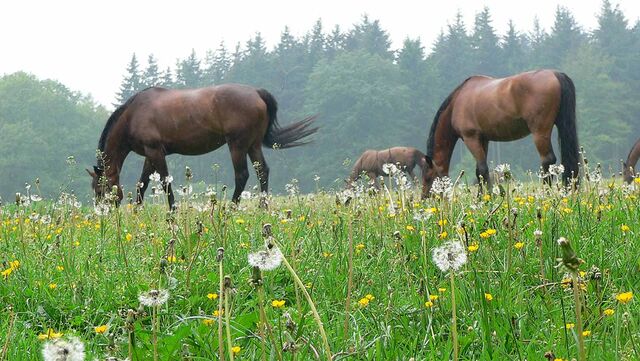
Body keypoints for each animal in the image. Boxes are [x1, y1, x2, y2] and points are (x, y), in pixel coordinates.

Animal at [89, 83, 318, 208]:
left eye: (100, 189)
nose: (102, 213)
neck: (133, 114)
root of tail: (256, 92)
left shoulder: (154, 151)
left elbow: (164, 182)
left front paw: (173, 211)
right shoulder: (151, 153)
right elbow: (142, 184)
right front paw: (137, 210)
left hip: (237, 145)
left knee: (242, 175)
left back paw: (232, 207)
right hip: (253, 145)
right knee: (262, 171)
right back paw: (263, 206)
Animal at [420, 68, 580, 197]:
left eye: (427, 177)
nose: (425, 197)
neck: (457, 103)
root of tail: (555, 74)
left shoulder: (471, 138)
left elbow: (482, 169)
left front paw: (489, 197)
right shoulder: (483, 139)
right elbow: (479, 170)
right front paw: (481, 197)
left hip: (540, 132)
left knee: (548, 160)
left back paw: (546, 194)